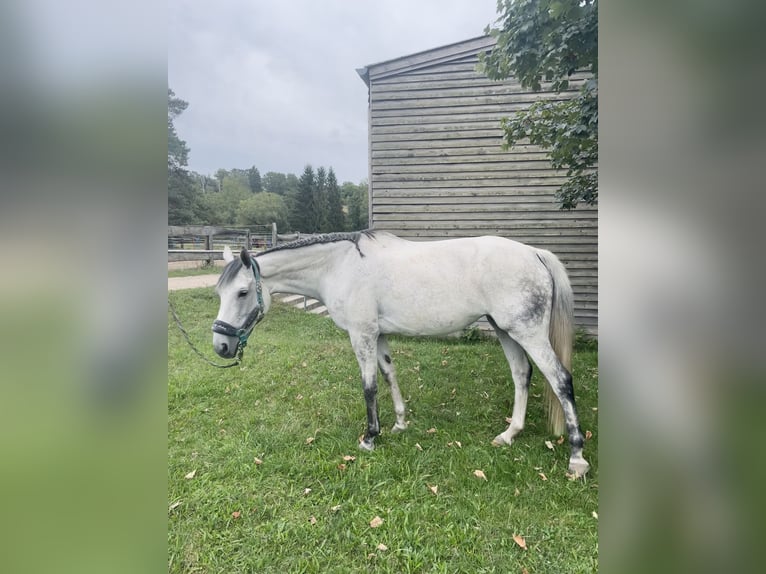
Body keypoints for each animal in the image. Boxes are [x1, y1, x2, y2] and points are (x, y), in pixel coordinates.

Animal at [213, 230, 592, 476]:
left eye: (243, 292)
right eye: (220, 292)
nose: (221, 345)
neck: (339, 267)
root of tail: (535, 253)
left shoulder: (362, 335)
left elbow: (368, 385)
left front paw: (370, 437)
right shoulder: (378, 335)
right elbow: (389, 374)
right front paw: (399, 423)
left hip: (527, 333)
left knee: (560, 380)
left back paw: (576, 458)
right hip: (505, 330)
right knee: (522, 375)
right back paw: (510, 434)